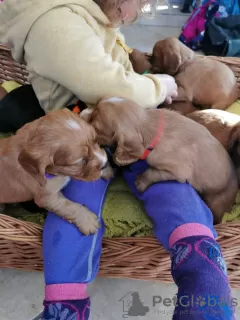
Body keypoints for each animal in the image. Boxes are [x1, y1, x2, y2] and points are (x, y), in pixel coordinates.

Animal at [81, 98, 238, 225]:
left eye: (95, 127)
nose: (81, 113)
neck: (150, 127)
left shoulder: (178, 171)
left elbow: (153, 172)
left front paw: (140, 181)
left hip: (218, 200)